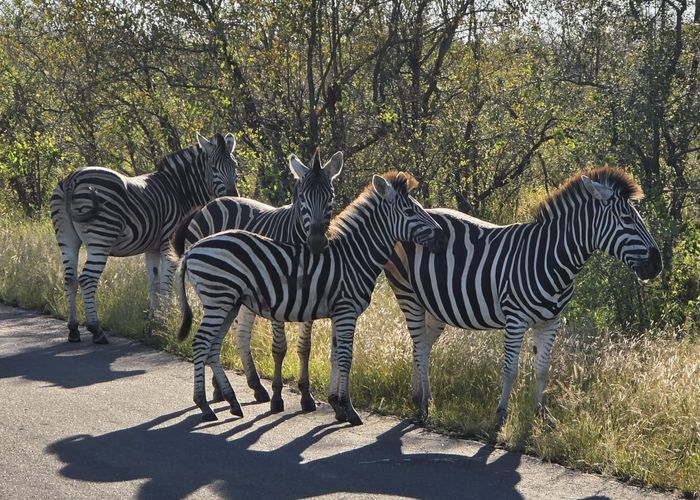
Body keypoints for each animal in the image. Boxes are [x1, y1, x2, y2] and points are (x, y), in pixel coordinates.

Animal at [50, 132, 239, 344]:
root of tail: (72, 179)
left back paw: (73, 329)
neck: (178, 189)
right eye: (213, 167)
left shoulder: (152, 248)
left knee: (70, 279)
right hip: (101, 238)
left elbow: (153, 283)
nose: (233, 196)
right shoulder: (168, 244)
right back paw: (96, 329)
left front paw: (154, 320)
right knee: (87, 279)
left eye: (235, 166)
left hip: (67, 238)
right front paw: (167, 320)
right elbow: (165, 284)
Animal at [170, 148, 343, 412]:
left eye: (330, 197)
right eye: (302, 198)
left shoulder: (309, 300)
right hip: (216, 287)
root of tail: (213, 202)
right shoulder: (280, 298)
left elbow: (305, 348)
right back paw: (220, 390)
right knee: (211, 335)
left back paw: (253, 387)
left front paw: (305, 396)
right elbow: (280, 348)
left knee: (239, 334)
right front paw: (278, 398)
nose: (316, 242)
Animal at [175, 171, 447, 425]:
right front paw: (350, 410)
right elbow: (346, 358)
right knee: (201, 343)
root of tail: (193, 249)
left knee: (212, 347)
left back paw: (232, 401)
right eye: (409, 211)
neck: (354, 257)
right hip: (218, 300)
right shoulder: (346, 310)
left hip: (227, 303)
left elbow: (336, 355)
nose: (442, 236)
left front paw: (337, 406)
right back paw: (204, 406)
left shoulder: (339, 313)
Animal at [384, 167, 663, 429]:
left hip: (434, 306)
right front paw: (500, 416)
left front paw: (543, 415)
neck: (550, 259)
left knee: (422, 345)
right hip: (408, 296)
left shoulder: (550, 322)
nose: (657, 265)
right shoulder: (515, 319)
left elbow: (542, 369)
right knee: (419, 344)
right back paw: (424, 404)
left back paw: (419, 396)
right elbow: (510, 370)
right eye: (627, 219)